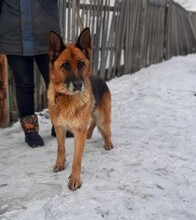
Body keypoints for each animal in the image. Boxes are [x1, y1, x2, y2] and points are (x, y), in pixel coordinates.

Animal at [47, 27, 114, 191]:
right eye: (65, 65)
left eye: (81, 64)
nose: (78, 85)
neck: (67, 97)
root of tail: (101, 78)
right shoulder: (59, 128)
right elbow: (61, 148)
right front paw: (60, 163)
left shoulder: (79, 132)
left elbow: (77, 160)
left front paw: (75, 179)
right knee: (93, 123)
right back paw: (90, 135)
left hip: (103, 118)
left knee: (106, 128)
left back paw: (108, 142)